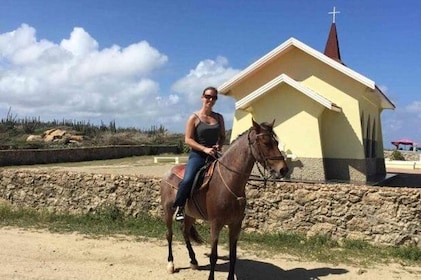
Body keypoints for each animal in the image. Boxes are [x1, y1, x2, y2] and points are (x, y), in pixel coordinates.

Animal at [158, 119, 288, 280]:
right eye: (265, 143)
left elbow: (233, 255)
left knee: (185, 231)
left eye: (276, 142)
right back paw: (171, 264)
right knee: (169, 235)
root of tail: (168, 172)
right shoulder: (216, 224)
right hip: (168, 211)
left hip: (190, 214)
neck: (228, 181)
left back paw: (193, 261)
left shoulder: (235, 225)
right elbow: (213, 256)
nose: (283, 169)